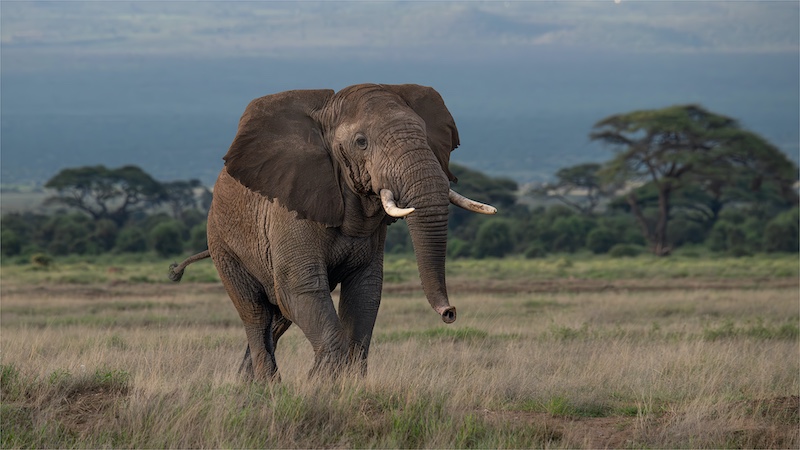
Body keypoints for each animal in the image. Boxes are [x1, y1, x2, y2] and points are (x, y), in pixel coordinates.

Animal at [170, 83, 496, 380]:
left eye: (424, 135)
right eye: (361, 142)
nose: (449, 312)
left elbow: (364, 292)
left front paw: (341, 384)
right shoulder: (289, 209)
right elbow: (301, 287)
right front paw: (318, 384)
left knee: (279, 318)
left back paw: (246, 384)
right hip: (223, 245)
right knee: (256, 313)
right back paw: (266, 388)